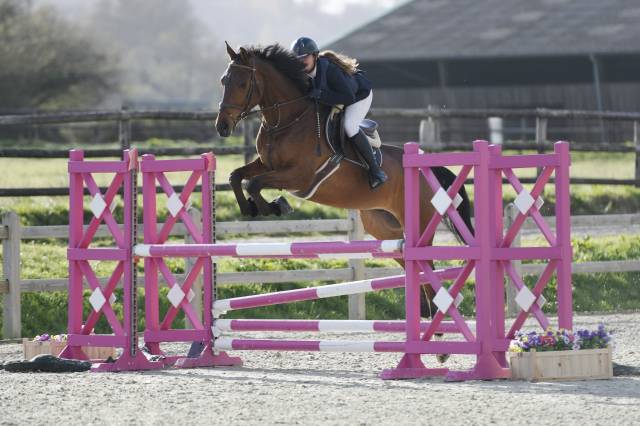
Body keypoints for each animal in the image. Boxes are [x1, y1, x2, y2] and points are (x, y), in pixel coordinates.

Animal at [214, 43, 473, 343]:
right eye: (224, 81)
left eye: (242, 83)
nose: (222, 127)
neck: (286, 119)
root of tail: (428, 168)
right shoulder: (266, 165)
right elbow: (237, 177)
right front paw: (252, 208)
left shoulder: (298, 175)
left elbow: (254, 184)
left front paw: (275, 206)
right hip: (384, 227)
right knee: (410, 260)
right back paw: (428, 316)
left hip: (418, 224)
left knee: (426, 263)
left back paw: (436, 320)